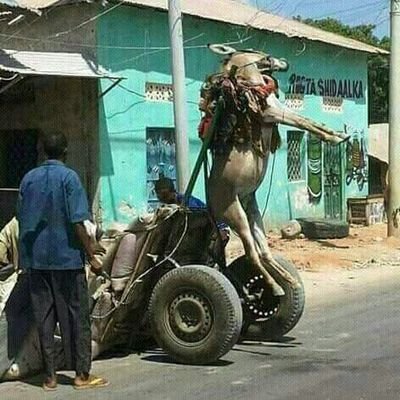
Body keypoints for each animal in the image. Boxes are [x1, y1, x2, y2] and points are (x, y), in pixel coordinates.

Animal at [202, 45, 348, 296]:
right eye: (262, 55)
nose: (285, 62)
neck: (248, 84)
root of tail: (210, 206)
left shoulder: (278, 110)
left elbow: (311, 122)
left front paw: (338, 135)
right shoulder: (272, 112)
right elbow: (305, 122)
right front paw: (337, 137)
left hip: (251, 211)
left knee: (264, 252)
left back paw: (288, 281)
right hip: (235, 214)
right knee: (252, 253)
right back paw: (275, 287)